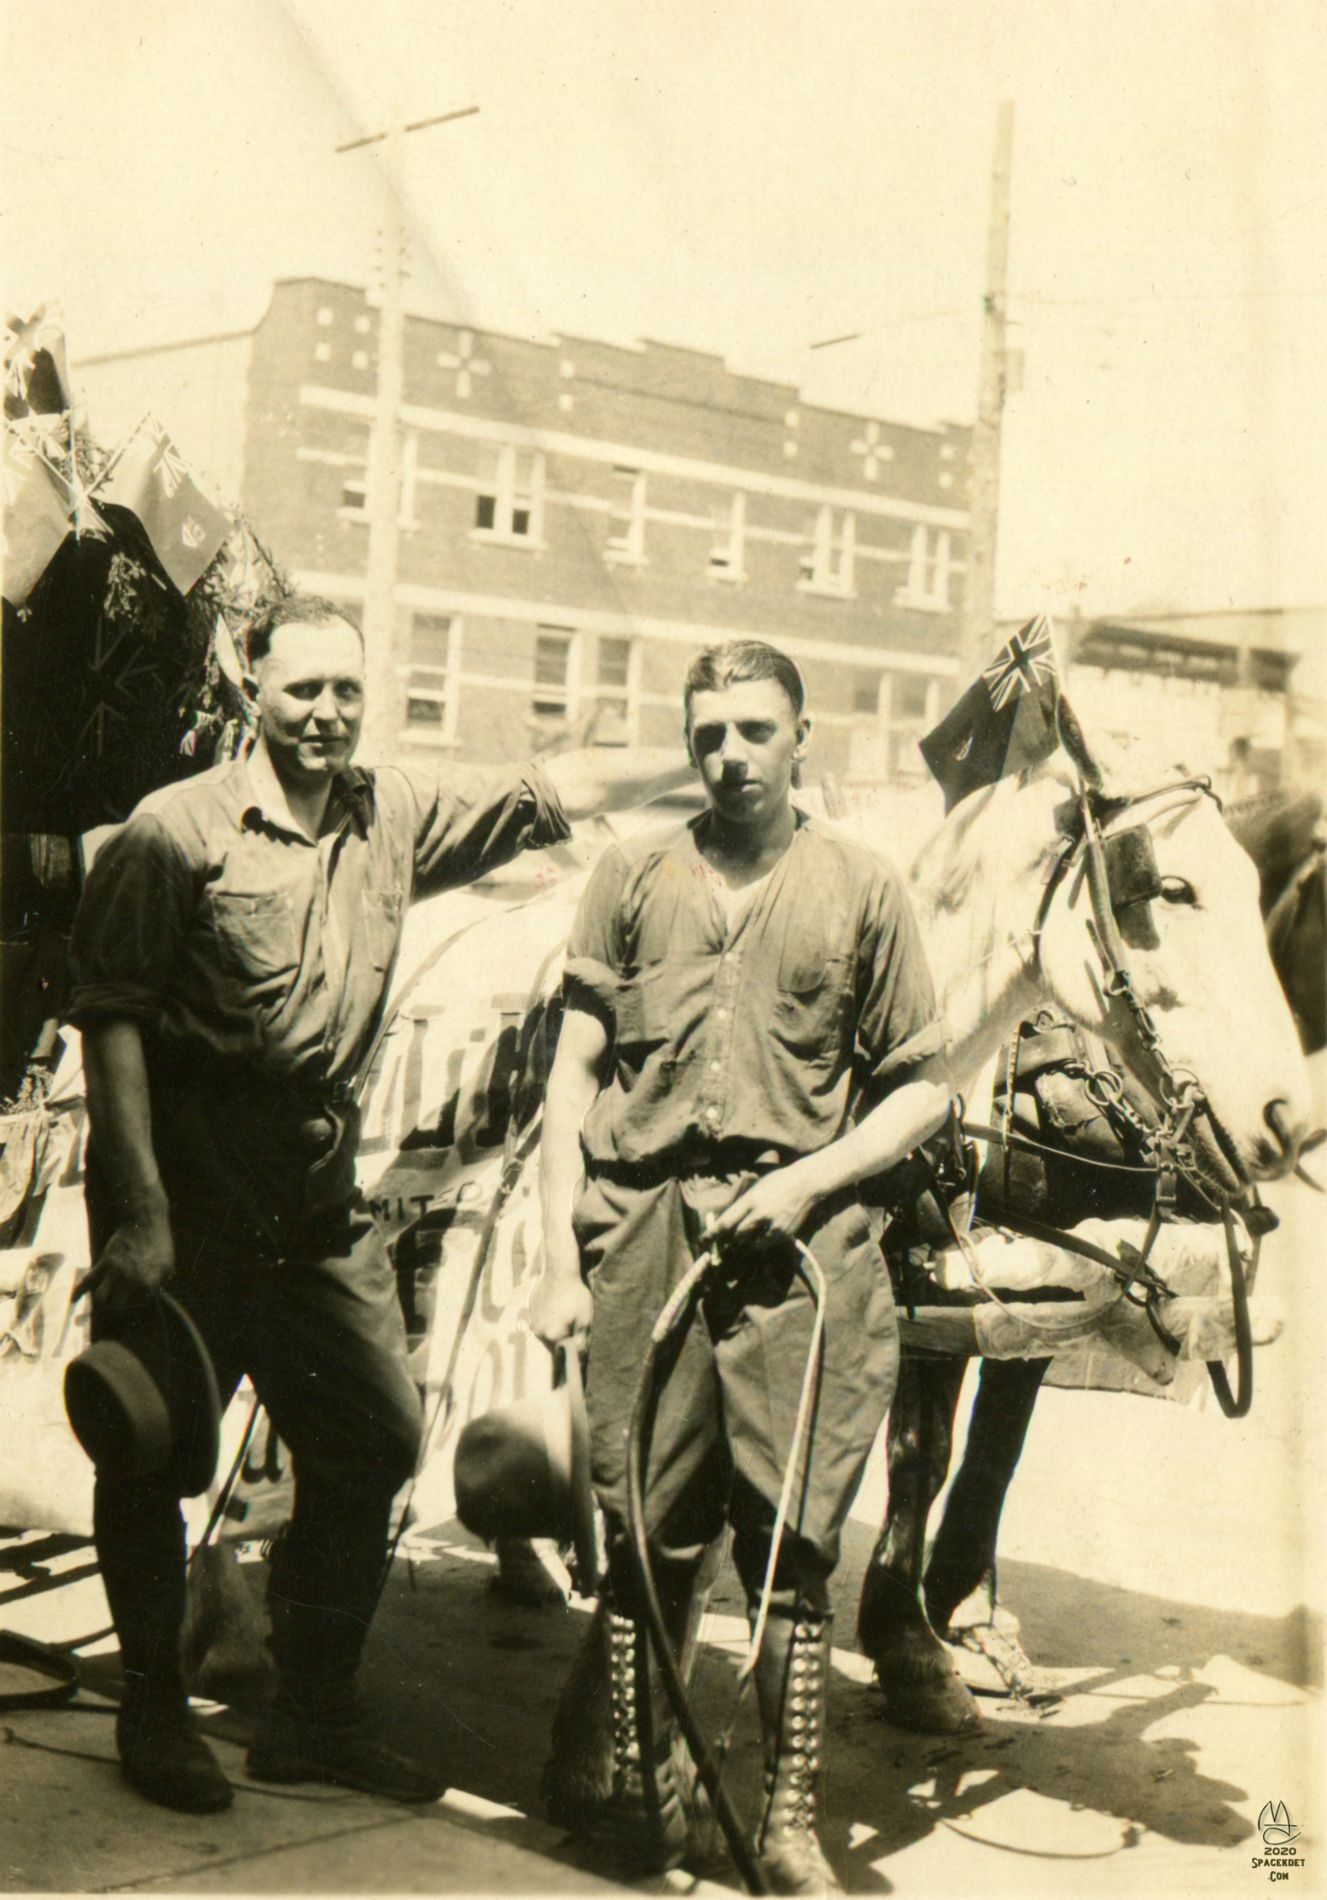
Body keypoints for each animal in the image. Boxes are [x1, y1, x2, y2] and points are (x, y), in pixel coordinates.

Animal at [859, 779, 1323, 1732]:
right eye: (1171, 890)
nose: (1290, 1119)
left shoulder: (1058, 1275)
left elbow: (997, 1442)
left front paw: (961, 1608)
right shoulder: (929, 1252)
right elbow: (923, 1445)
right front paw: (906, 1639)